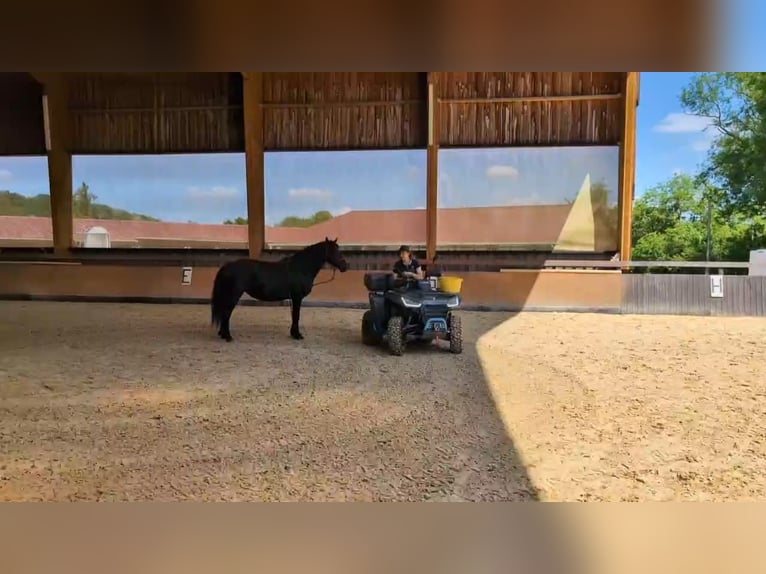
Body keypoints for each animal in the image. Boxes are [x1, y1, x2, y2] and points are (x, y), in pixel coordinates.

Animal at [210, 237, 349, 342]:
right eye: (334, 251)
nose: (345, 266)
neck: (300, 268)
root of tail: (227, 266)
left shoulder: (294, 298)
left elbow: (294, 316)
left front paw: (294, 333)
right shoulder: (297, 297)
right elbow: (296, 315)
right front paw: (297, 335)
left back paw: (222, 334)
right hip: (233, 295)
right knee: (226, 313)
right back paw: (227, 336)